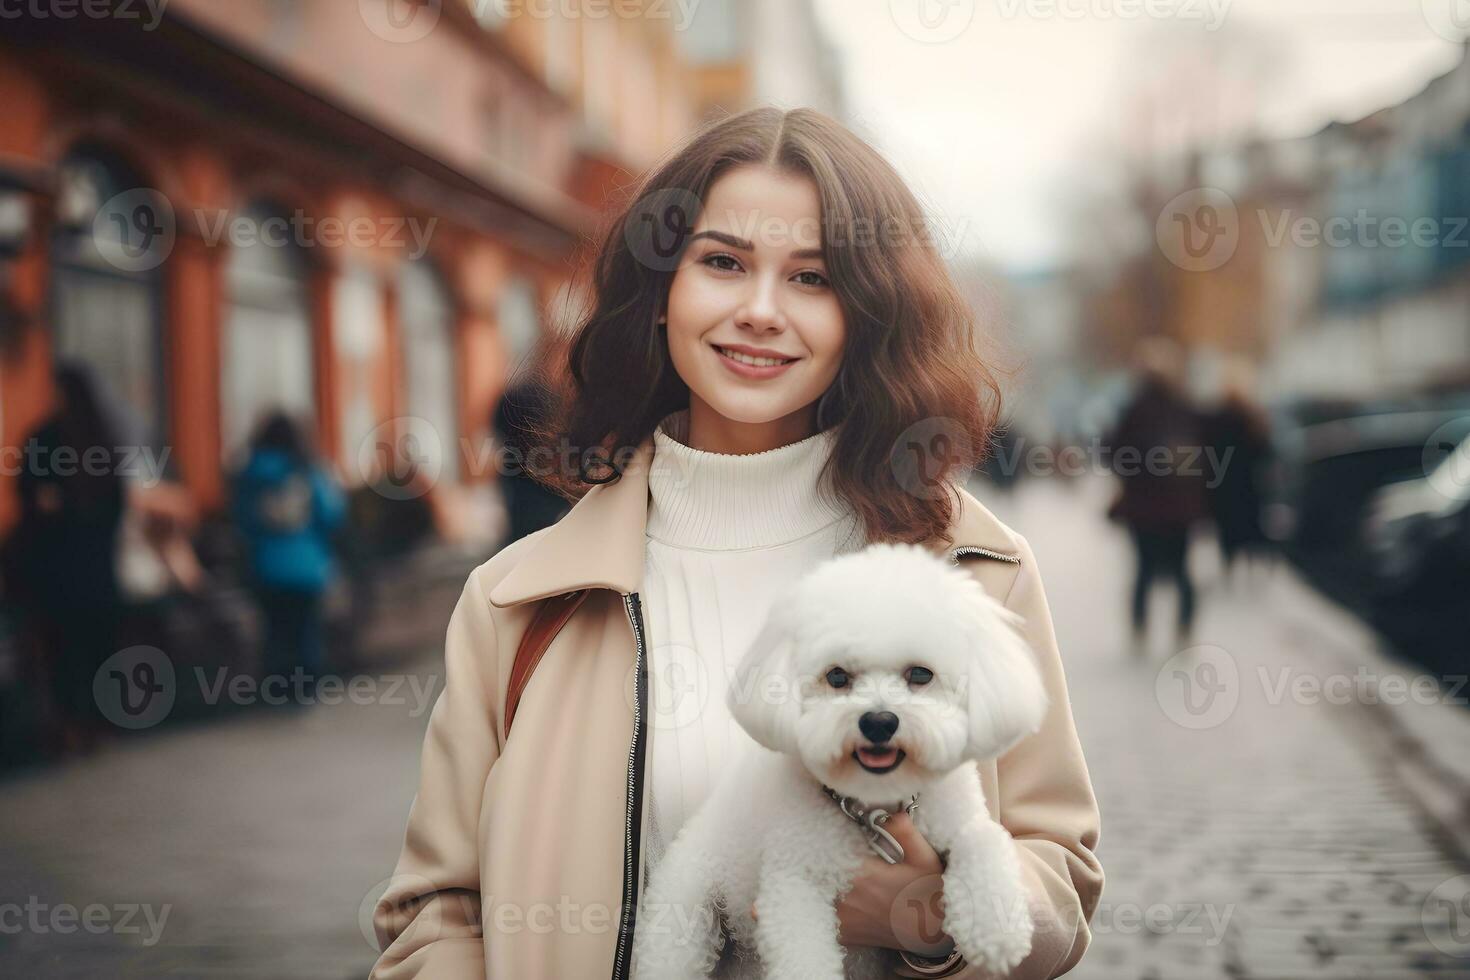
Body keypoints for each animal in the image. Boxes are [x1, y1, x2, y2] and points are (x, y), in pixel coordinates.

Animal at [629, 543, 1046, 980]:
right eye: (837, 677)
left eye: (920, 674)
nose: (879, 722)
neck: (873, 805)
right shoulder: (793, 881)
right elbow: (803, 954)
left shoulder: (956, 819)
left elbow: (984, 840)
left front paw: (996, 930)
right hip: (686, 911)